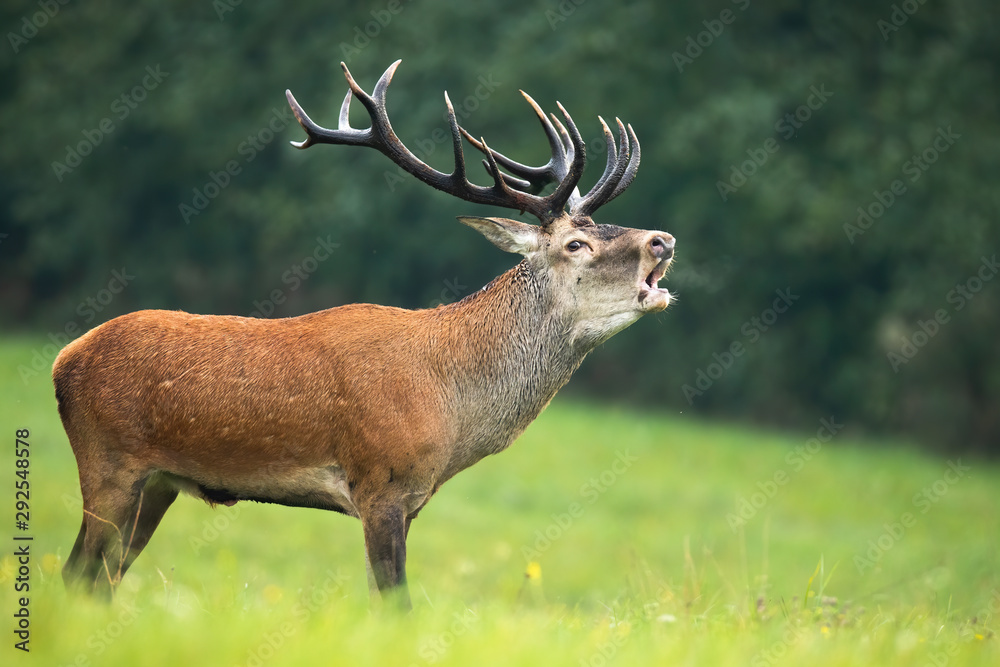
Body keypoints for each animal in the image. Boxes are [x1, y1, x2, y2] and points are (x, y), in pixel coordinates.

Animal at [53, 60, 675, 609]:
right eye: (576, 243)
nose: (662, 240)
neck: (452, 407)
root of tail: (66, 358)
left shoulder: (410, 497)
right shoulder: (380, 483)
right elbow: (396, 603)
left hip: (159, 481)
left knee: (101, 578)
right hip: (108, 461)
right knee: (77, 571)